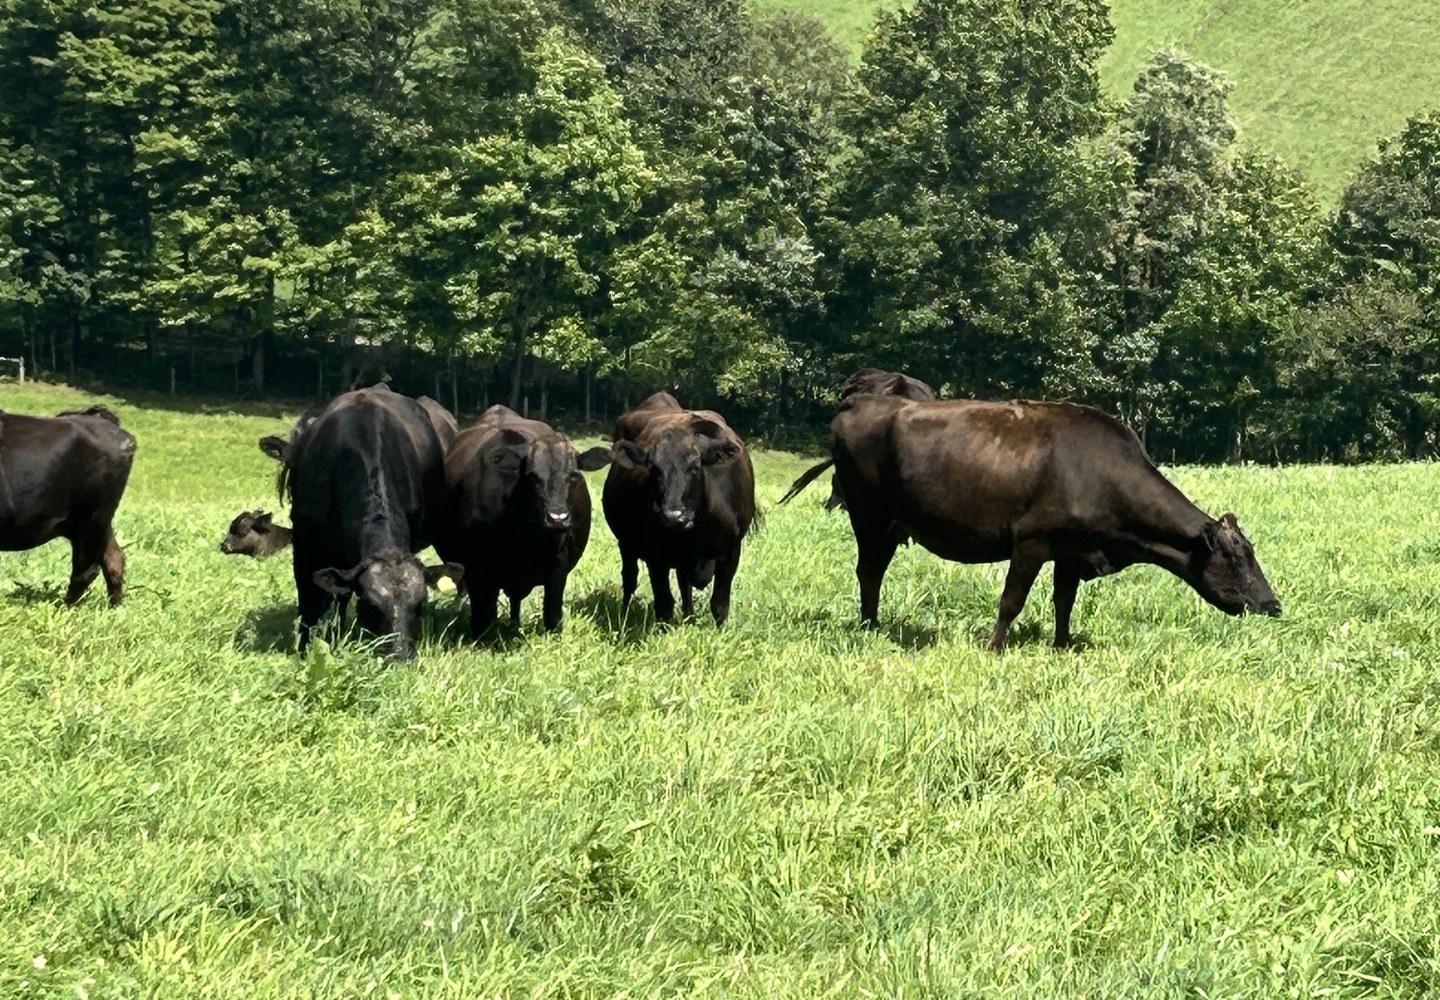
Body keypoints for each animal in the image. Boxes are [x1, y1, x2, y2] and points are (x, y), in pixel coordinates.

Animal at [280, 385, 461, 658]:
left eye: (420, 605)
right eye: (371, 606)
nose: (400, 655)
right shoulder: (305, 545)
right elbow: (309, 604)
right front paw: (303, 652)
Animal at [436, 405, 611, 635]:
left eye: (574, 476)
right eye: (532, 477)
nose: (557, 518)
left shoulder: (558, 568)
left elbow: (552, 616)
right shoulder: (476, 571)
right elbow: (483, 618)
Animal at [602, 394, 755, 625]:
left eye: (695, 467)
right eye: (654, 470)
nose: (674, 517)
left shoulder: (731, 551)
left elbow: (719, 604)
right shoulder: (656, 556)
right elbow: (664, 603)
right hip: (626, 544)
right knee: (629, 580)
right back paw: (623, 617)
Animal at [782, 395, 1280, 650]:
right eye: (1236, 559)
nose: (1273, 605)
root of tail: (856, 407)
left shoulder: (1072, 551)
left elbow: (1064, 603)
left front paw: (1061, 645)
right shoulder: (1031, 542)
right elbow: (1011, 601)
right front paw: (994, 647)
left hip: (886, 524)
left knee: (874, 572)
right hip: (870, 516)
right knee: (868, 572)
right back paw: (870, 627)